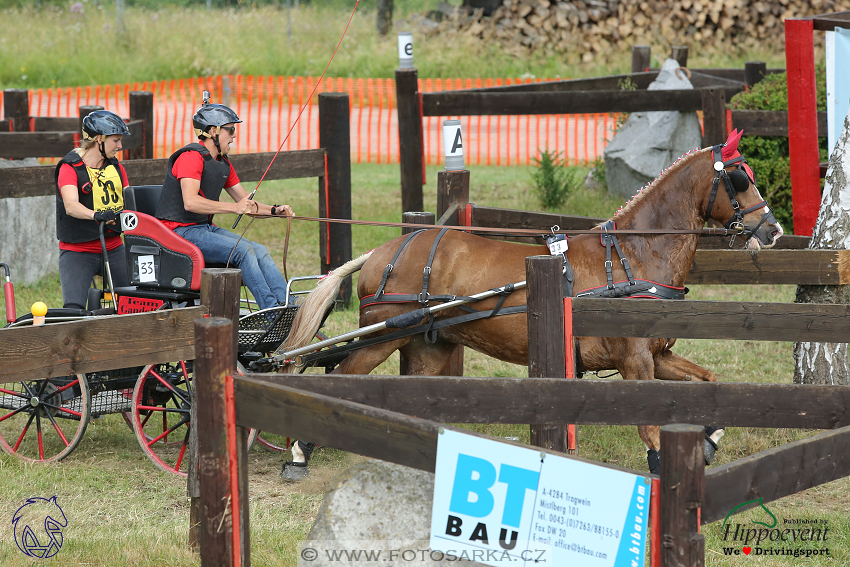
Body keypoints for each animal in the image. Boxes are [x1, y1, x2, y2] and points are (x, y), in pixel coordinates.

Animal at [280, 132, 780, 470]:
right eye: (740, 179)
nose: (773, 230)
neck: (633, 254)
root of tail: (383, 251)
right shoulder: (634, 360)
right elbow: (651, 426)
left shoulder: (658, 356)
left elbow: (709, 381)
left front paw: (710, 438)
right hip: (383, 338)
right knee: (341, 377)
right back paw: (300, 449)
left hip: (427, 347)